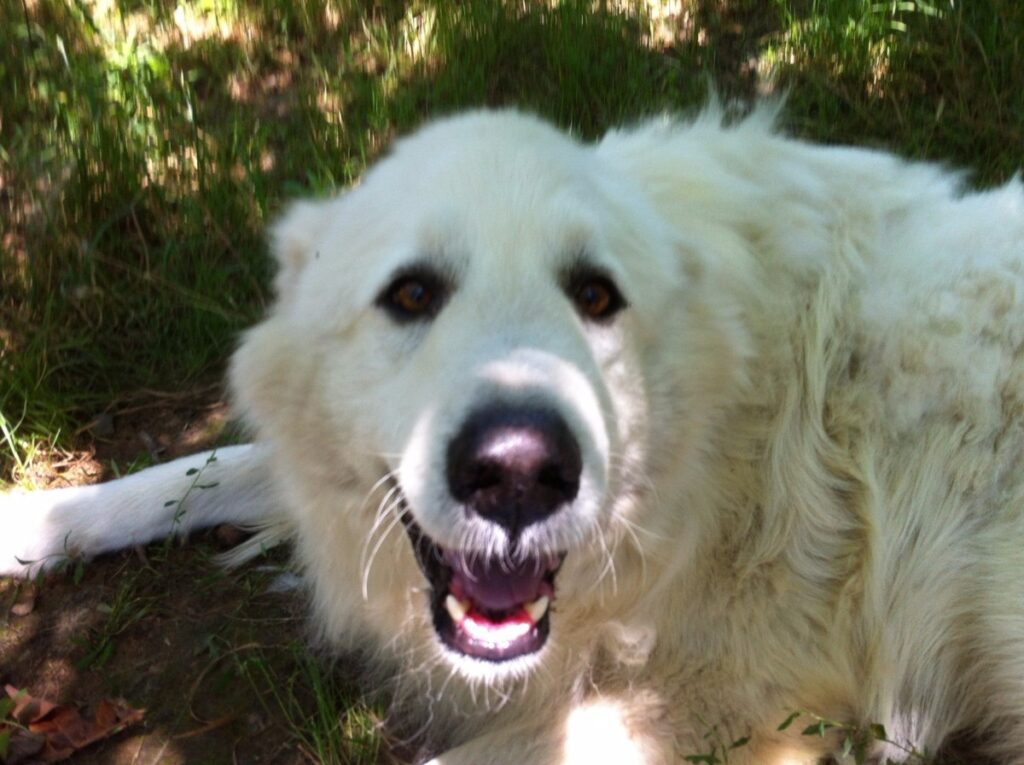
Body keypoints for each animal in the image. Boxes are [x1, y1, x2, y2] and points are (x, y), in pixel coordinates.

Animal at [2, 107, 1024, 765]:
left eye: (596, 295)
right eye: (413, 292)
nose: (520, 472)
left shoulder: (729, 707)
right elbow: (202, 467)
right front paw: (34, 523)